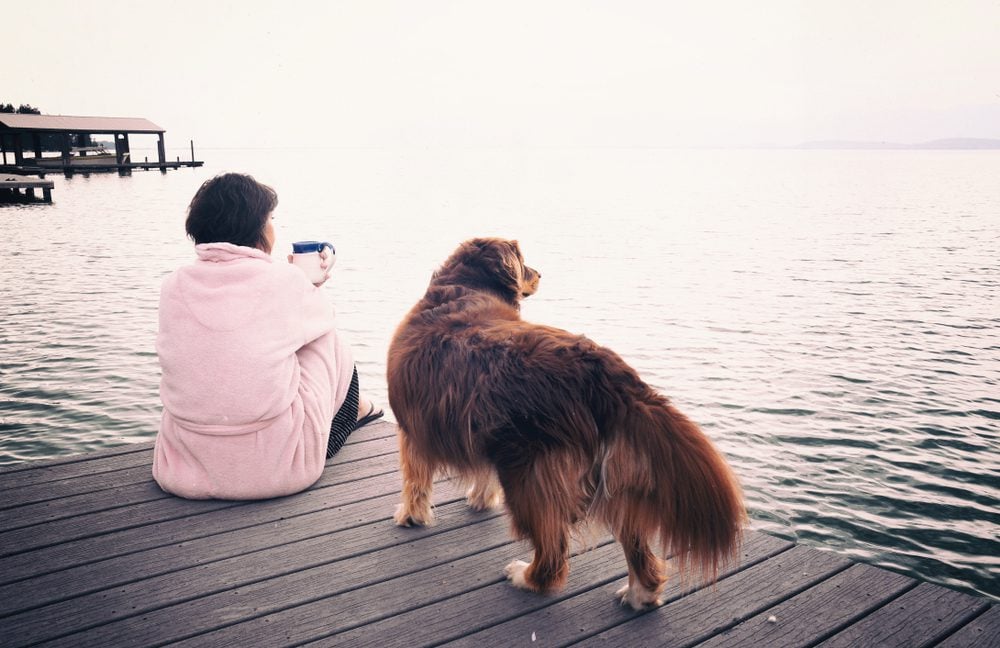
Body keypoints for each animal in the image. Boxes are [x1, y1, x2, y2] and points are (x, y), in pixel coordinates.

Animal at [386, 237, 748, 608]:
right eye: (525, 261)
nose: (540, 274)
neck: (461, 289)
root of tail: (603, 371)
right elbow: (479, 475)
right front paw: (481, 498)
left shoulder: (411, 431)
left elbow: (415, 480)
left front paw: (411, 516)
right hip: (613, 478)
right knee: (634, 545)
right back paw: (640, 594)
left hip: (530, 475)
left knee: (553, 554)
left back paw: (525, 576)